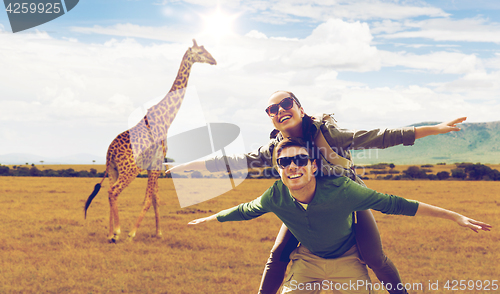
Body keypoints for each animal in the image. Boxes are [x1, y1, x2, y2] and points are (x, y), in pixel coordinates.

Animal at [84, 39, 217, 242]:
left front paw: (158, 232)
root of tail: (110, 152)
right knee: (114, 191)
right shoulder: (157, 160)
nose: (214, 60)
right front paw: (132, 233)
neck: (167, 118)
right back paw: (117, 232)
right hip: (129, 170)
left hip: (113, 170)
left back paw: (110, 233)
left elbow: (156, 198)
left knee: (109, 192)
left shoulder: (154, 164)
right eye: (201, 52)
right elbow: (148, 199)